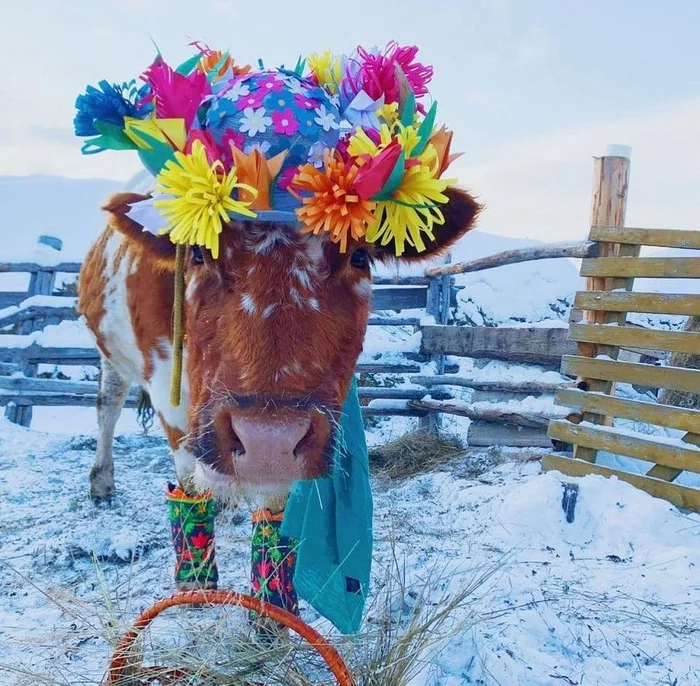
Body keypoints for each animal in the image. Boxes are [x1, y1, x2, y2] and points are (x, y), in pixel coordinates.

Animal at [78, 188, 482, 516]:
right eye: (198, 251)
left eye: (359, 257)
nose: (268, 442)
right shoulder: (169, 394)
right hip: (111, 355)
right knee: (108, 403)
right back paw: (102, 483)